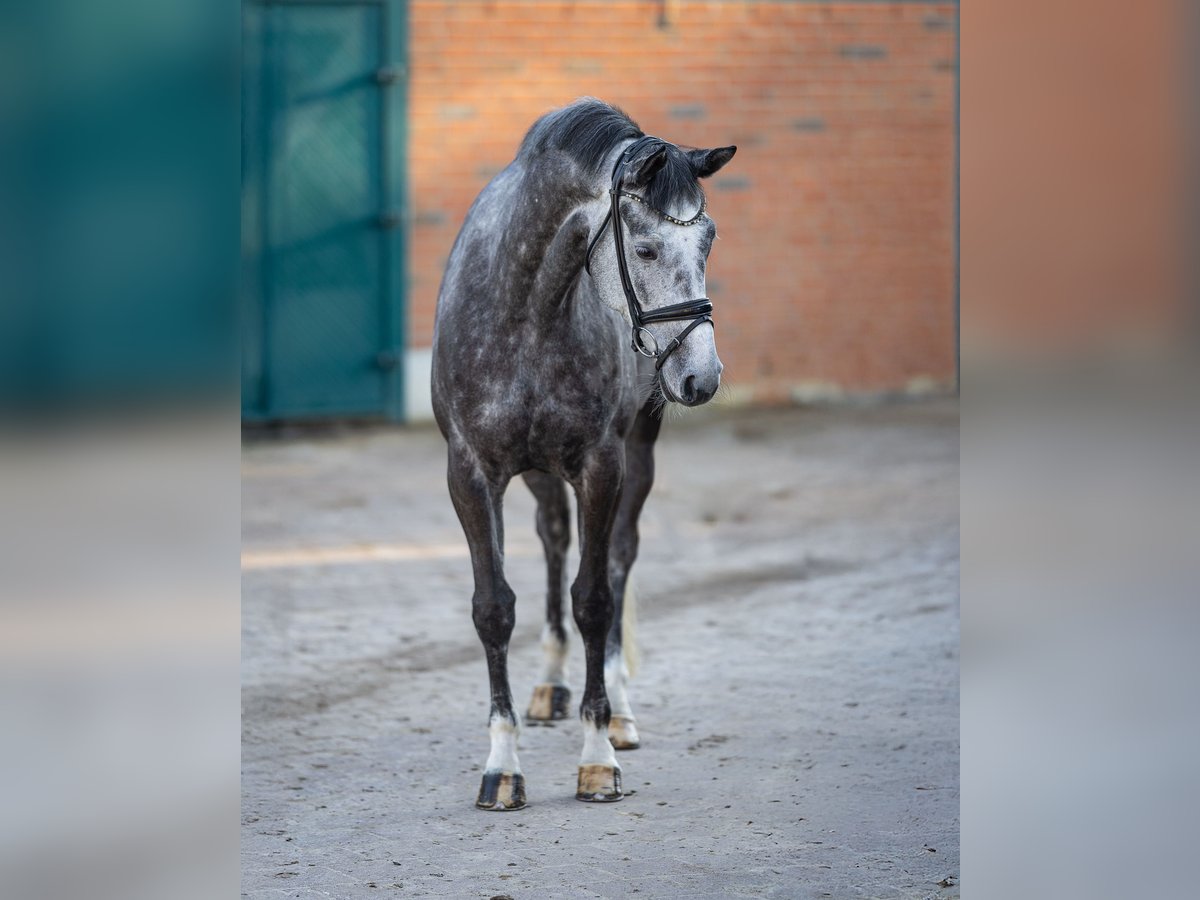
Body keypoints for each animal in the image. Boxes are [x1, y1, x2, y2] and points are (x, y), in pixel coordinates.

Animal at [431, 98, 736, 809]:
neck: (527, 314)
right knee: (551, 541)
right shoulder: (471, 473)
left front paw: (598, 759)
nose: (702, 377)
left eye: (708, 240)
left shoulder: (603, 467)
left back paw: (619, 711)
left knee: (619, 561)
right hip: (541, 475)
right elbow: (494, 608)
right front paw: (502, 768)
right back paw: (550, 685)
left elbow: (595, 598)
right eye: (645, 247)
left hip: (637, 457)